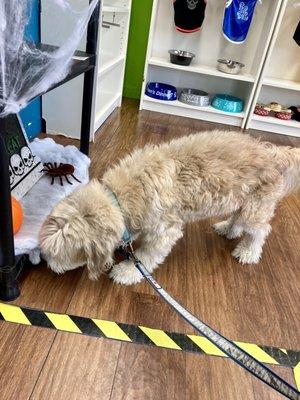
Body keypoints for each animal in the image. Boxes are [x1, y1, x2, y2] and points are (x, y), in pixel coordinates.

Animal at [39, 131, 300, 284]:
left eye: (57, 254)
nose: (49, 266)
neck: (120, 197)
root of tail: (273, 152)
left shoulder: (165, 231)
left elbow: (147, 255)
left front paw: (128, 272)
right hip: (242, 200)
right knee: (238, 217)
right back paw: (229, 228)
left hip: (255, 208)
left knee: (261, 231)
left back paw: (248, 252)